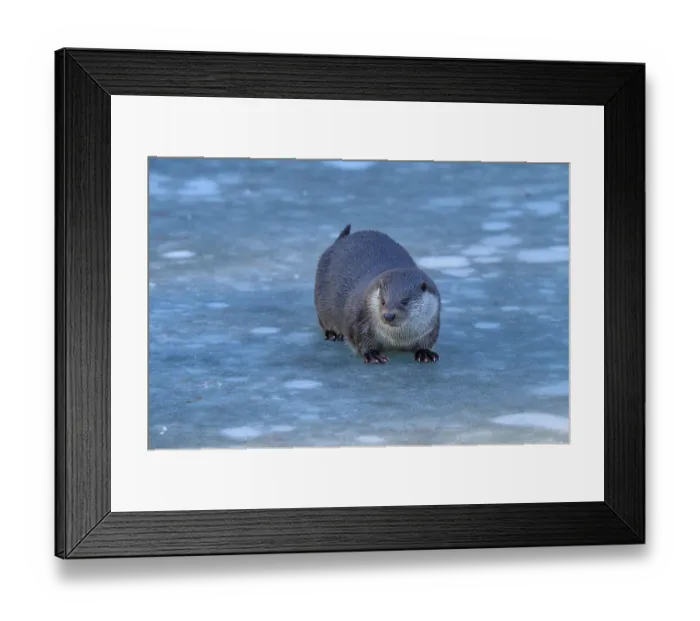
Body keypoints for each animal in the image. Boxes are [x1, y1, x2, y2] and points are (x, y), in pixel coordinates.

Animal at [314, 224, 441, 364]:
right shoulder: (358, 320)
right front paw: (372, 354)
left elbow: (428, 341)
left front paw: (425, 352)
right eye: (383, 301)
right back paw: (333, 334)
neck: (397, 339)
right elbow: (359, 341)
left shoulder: (431, 327)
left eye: (405, 301)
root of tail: (339, 241)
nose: (389, 315)